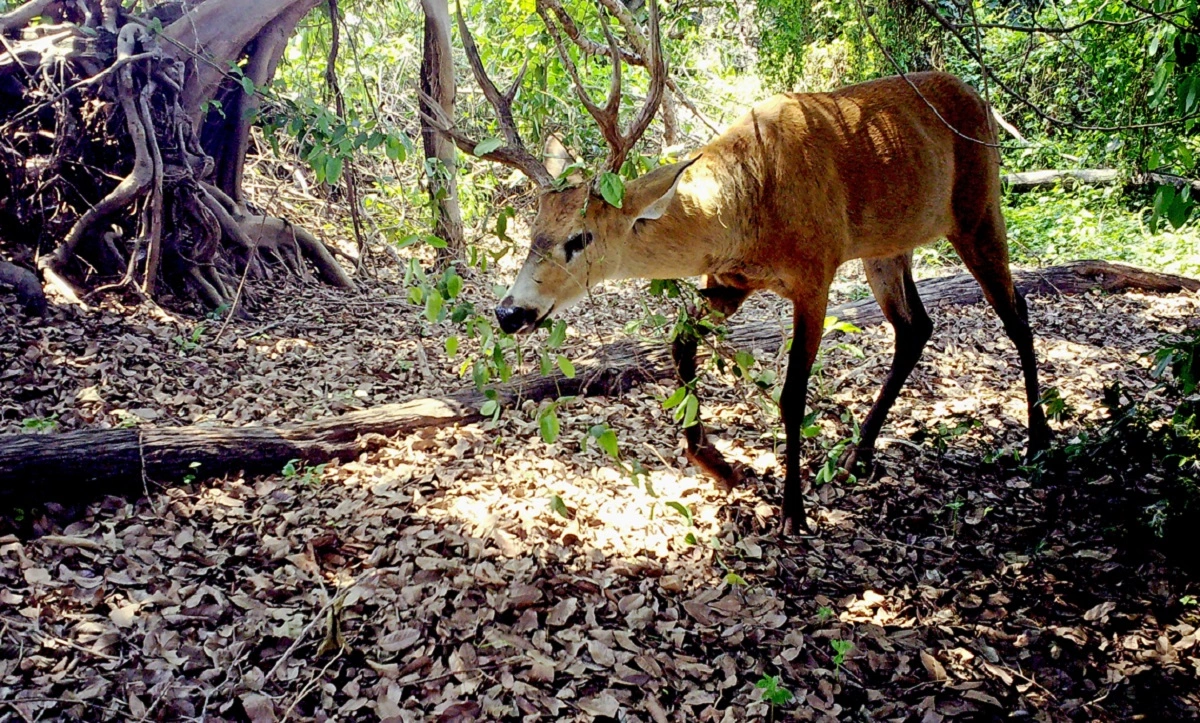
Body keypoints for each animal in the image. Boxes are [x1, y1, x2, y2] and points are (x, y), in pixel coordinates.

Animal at [429, 0, 1051, 528]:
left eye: (579, 238)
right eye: (533, 232)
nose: (510, 312)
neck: (746, 207)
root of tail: (980, 100)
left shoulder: (815, 271)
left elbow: (792, 393)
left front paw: (793, 512)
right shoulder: (729, 281)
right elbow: (680, 340)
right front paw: (718, 464)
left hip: (978, 208)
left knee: (1014, 308)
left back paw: (1039, 440)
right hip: (886, 247)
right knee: (915, 326)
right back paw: (859, 455)